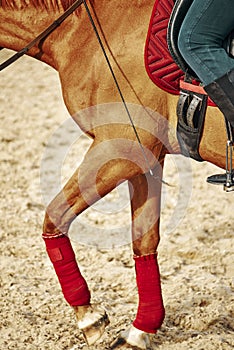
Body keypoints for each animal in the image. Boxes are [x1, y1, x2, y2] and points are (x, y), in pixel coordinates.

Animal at [0, 0, 230, 350]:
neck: (79, 32)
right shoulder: (145, 158)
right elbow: (143, 241)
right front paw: (140, 330)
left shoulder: (116, 150)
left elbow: (55, 216)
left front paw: (88, 316)